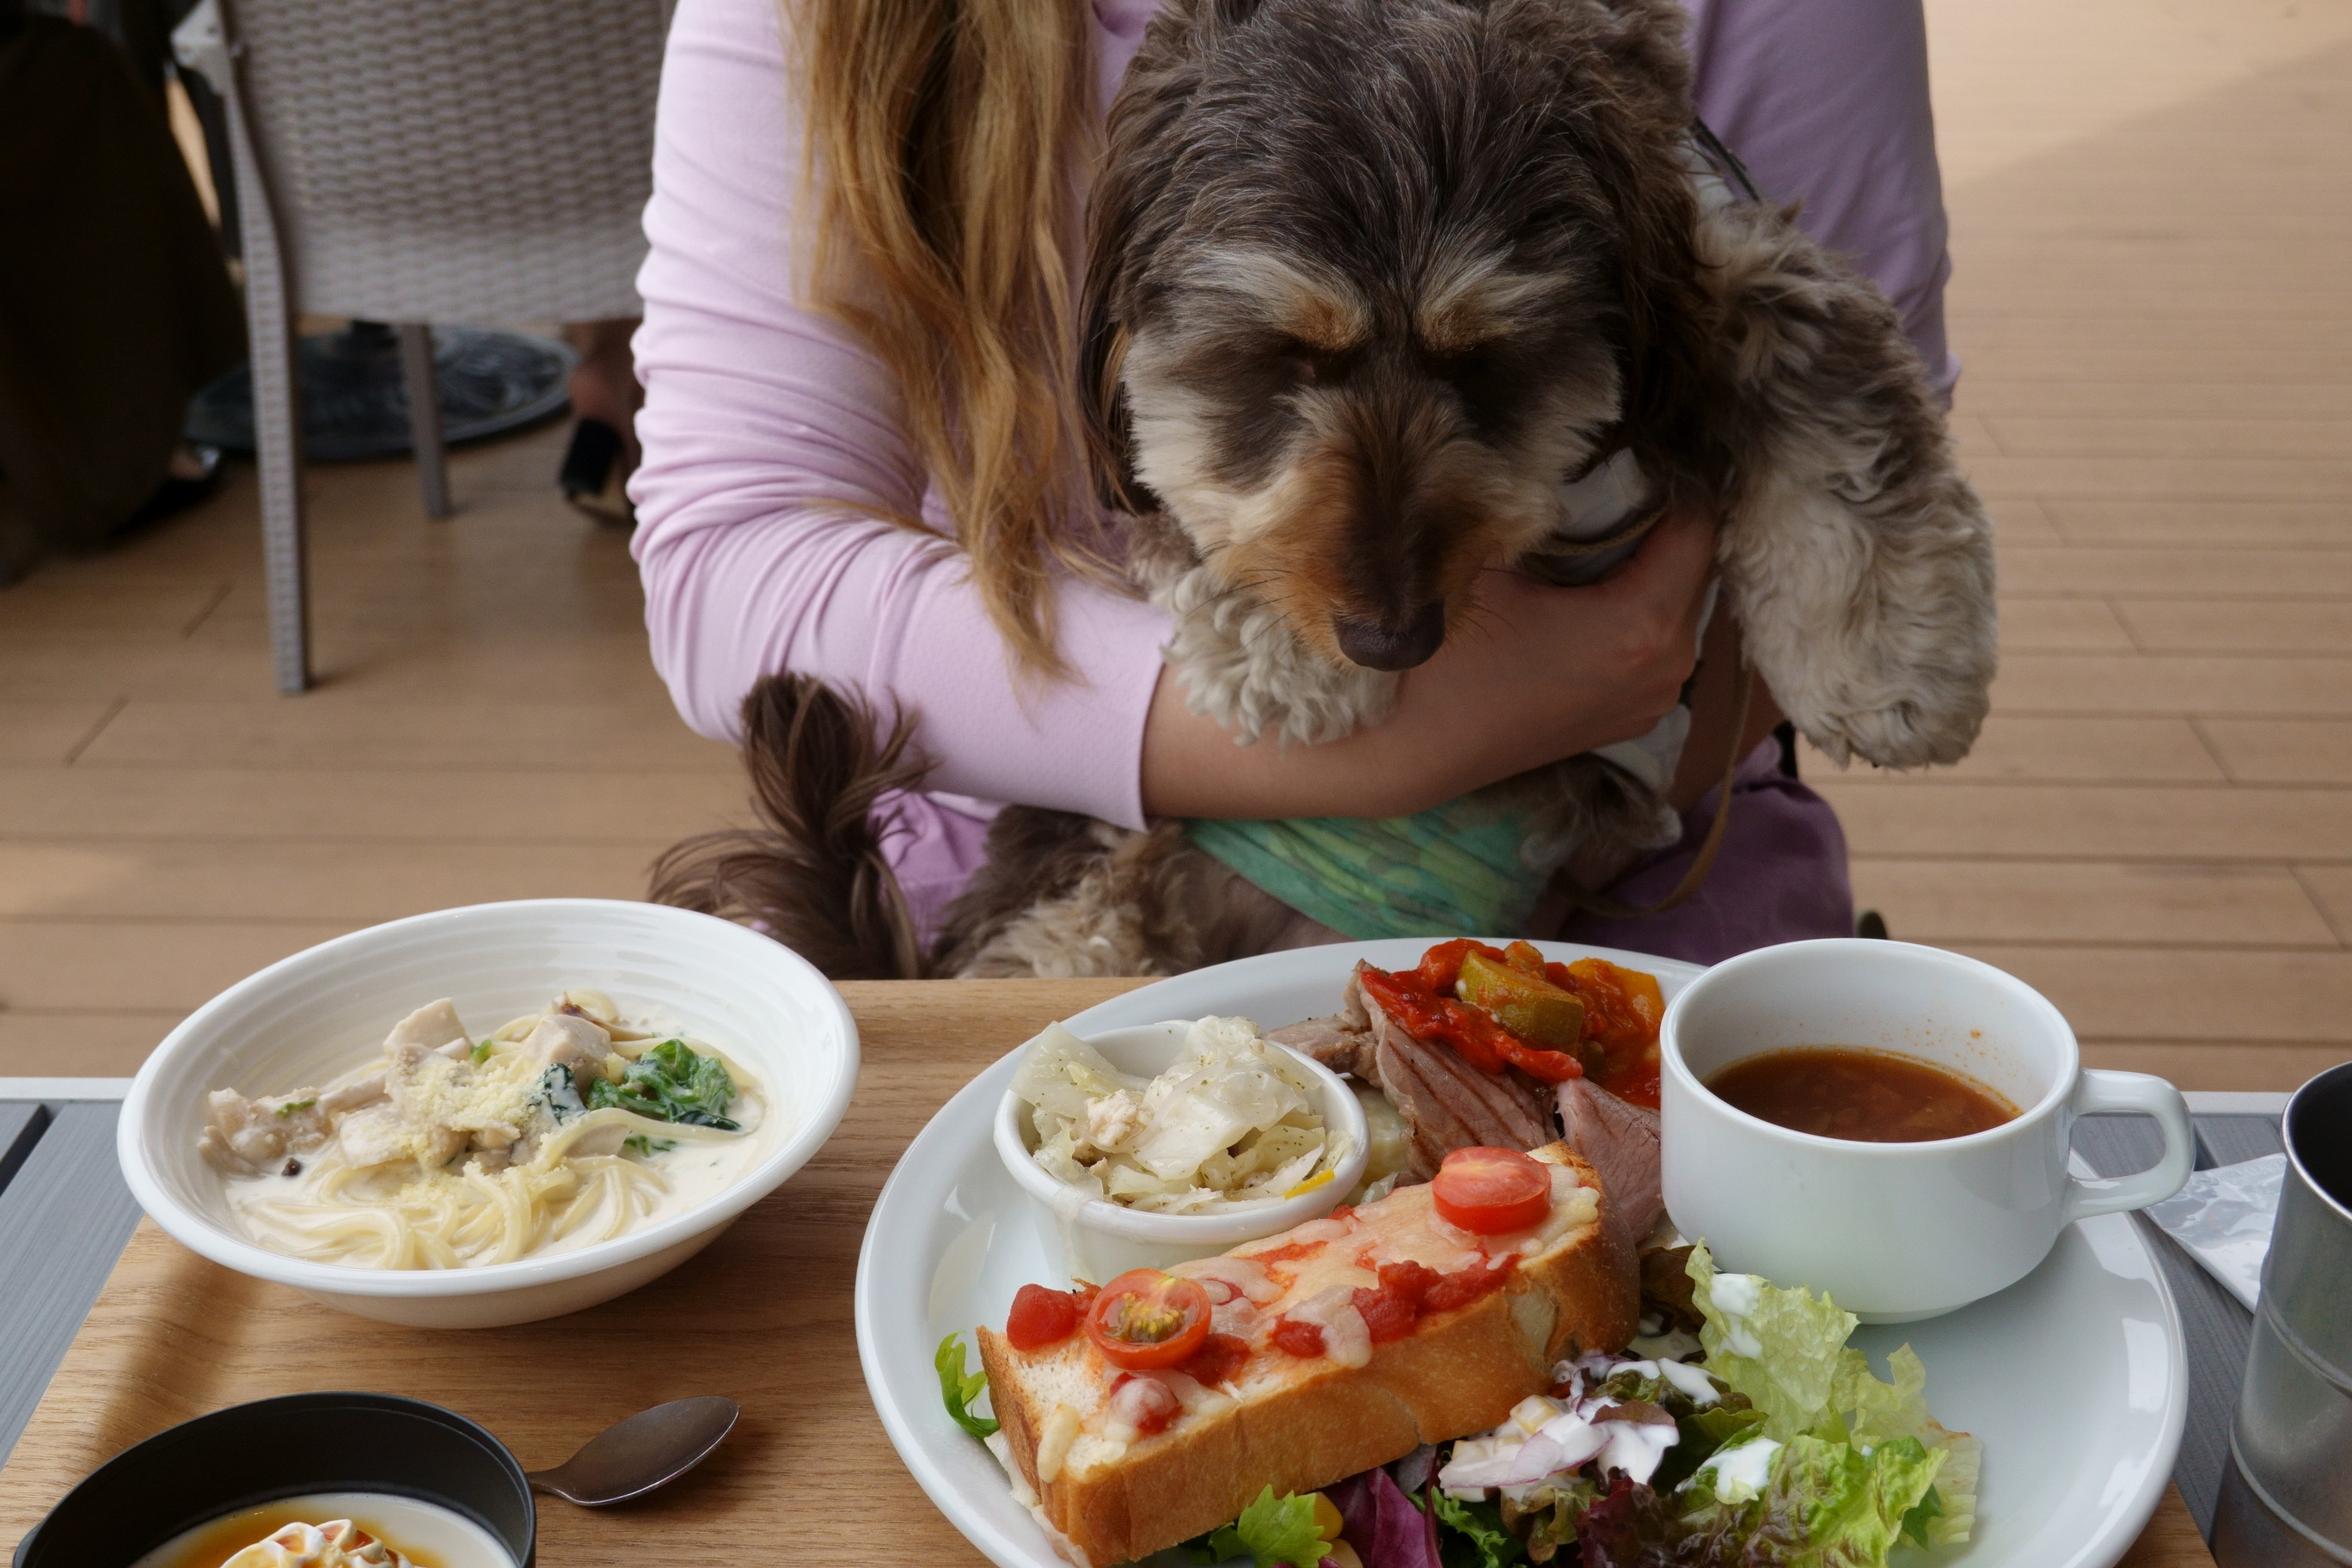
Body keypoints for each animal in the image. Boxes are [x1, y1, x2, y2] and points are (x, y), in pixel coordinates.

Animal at [653, 0, 1994, 973]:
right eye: (1277, 359)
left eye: (1488, 362)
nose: (1389, 637)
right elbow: (1196, 498)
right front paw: (1279, 660)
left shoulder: (1725, 264)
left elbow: (1846, 418)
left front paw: (1891, 661)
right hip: (1084, 883)